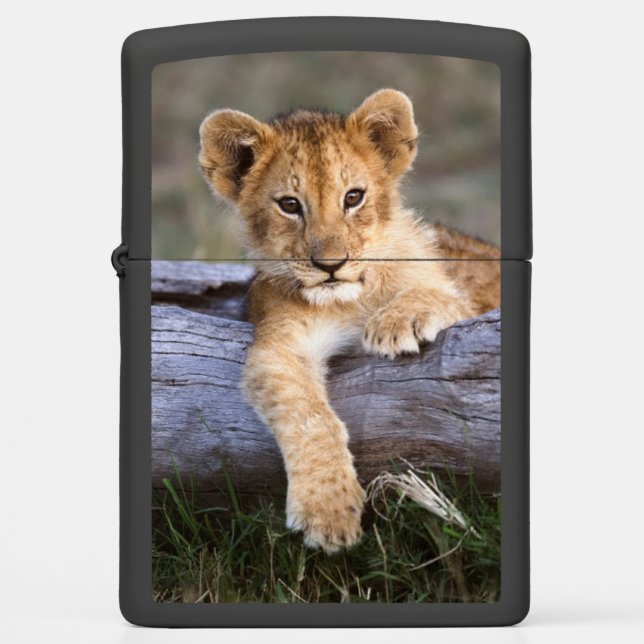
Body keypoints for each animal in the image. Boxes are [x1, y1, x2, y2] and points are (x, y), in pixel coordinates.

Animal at [199, 89, 500, 553]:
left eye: (353, 197)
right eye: (290, 205)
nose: (330, 265)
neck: (351, 300)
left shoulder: (466, 301)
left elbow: (439, 294)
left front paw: (397, 321)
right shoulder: (279, 345)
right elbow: (309, 417)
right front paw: (328, 512)